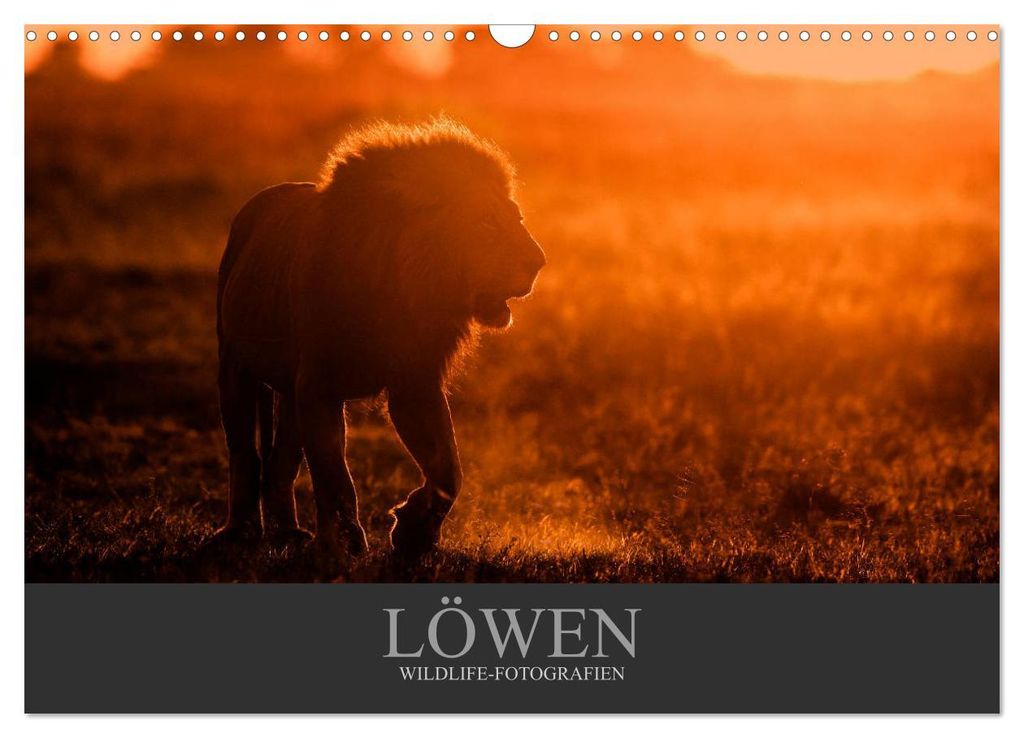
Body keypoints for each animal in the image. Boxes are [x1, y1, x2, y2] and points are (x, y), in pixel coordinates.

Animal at [214, 118, 545, 570]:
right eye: (487, 223)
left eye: (517, 217)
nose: (539, 262)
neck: (403, 287)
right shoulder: (318, 384)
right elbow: (335, 475)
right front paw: (345, 546)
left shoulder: (415, 383)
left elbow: (449, 467)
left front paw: (413, 531)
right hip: (235, 364)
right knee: (244, 451)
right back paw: (241, 532)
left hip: (288, 393)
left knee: (281, 462)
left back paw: (288, 533)